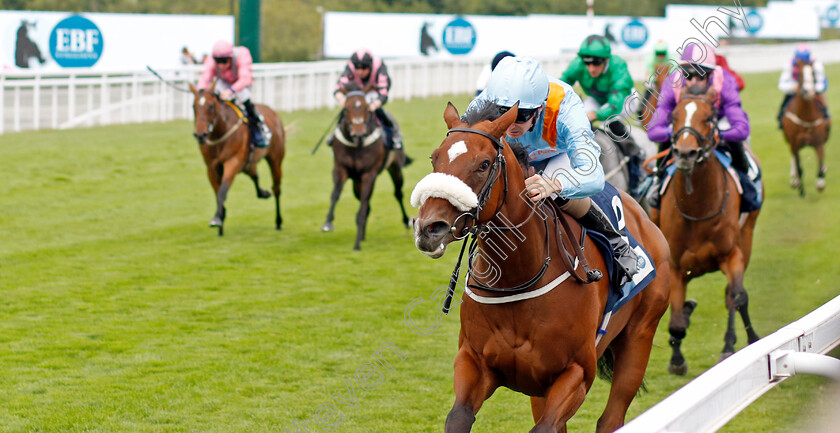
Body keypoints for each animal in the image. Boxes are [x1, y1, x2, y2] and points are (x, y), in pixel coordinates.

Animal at [188, 81, 286, 236]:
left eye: (211, 106)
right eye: (193, 106)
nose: (200, 135)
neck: (220, 133)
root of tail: (272, 111)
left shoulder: (232, 162)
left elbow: (222, 191)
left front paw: (217, 220)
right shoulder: (212, 167)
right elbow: (217, 192)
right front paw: (220, 221)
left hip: (275, 160)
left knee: (276, 189)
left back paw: (278, 221)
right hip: (249, 163)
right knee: (255, 175)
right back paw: (263, 193)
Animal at [322, 85, 410, 250]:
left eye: (366, 107)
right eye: (346, 108)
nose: (358, 131)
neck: (356, 143)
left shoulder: (369, 174)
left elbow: (363, 204)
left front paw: (357, 244)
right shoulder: (340, 168)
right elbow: (335, 194)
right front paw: (328, 222)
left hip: (394, 167)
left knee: (398, 193)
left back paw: (407, 221)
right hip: (357, 181)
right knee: (365, 201)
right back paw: (362, 234)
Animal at [412, 102, 668, 432]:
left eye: (483, 164)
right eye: (435, 158)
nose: (428, 228)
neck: (516, 277)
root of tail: (644, 217)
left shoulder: (577, 372)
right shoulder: (475, 363)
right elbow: (458, 416)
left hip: (639, 336)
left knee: (611, 417)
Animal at [652, 88, 764, 374]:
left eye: (709, 118)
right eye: (673, 116)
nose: (685, 154)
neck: (698, 209)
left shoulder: (732, 254)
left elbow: (737, 297)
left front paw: (733, 344)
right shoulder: (675, 265)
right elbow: (676, 321)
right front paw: (676, 359)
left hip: (748, 236)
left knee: (734, 296)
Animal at [780, 58, 832, 196]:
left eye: (813, 73)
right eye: (800, 74)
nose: (808, 91)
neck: (806, 117)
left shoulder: (819, 142)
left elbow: (820, 162)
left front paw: (820, 183)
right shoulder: (795, 143)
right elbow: (799, 166)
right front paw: (800, 188)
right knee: (793, 158)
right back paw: (794, 180)